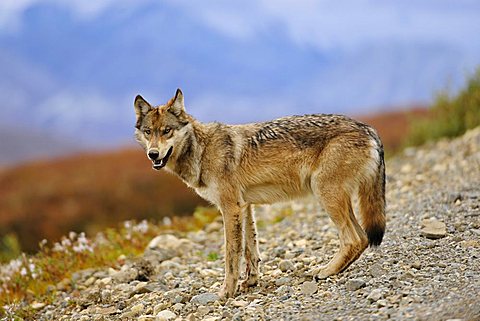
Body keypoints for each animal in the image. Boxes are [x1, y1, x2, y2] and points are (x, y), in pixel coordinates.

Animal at [134, 88, 386, 298]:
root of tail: (368, 128)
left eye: (167, 131)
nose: (153, 154)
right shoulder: (245, 206)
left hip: (325, 194)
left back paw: (325, 271)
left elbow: (231, 255)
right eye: (148, 132)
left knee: (353, 239)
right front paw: (250, 282)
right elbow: (250, 249)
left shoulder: (230, 208)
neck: (202, 151)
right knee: (363, 238)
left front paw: (226, 292)